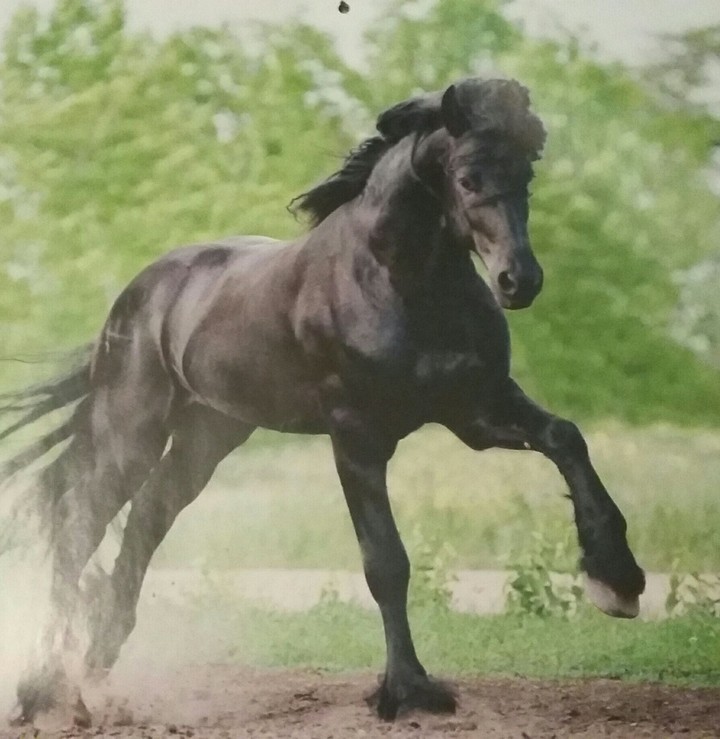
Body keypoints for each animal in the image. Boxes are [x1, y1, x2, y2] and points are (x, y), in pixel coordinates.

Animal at [0, 77, 646, 724]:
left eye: (526, 176)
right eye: (467, 178)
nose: (520, 281)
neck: (400, 283)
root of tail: (132, 300)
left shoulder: (476, 411)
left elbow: (566, 437)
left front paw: (617, 582)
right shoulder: (356, 436)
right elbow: (386, 562)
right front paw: (410, 690)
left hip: (205, 440)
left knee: (145, 523)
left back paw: (92, 668)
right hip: (130, 434)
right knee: (79, 525)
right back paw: (43, 688)